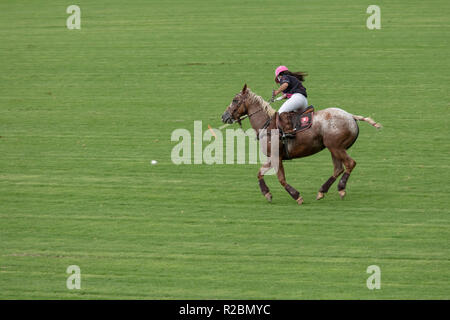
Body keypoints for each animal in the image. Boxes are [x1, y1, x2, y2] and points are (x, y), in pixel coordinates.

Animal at [221, 84, 380, 205]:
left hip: (336, 147)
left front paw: (297, 196)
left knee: (350, 164)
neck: (266, 124)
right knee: (338, 168)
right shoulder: (272, 158)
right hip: (333, 148)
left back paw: (341, 188)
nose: (224, 116)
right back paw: (321, 191)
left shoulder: (276, 157)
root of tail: (351, 117)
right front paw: (267, 194)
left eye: (235, 100)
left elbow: (281, 179)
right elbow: (260, 173)